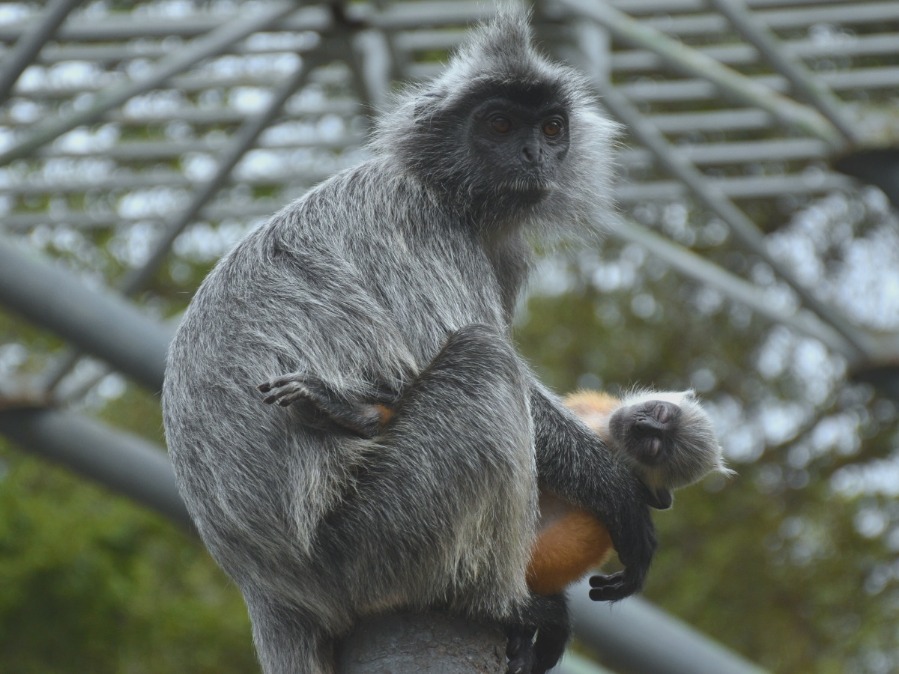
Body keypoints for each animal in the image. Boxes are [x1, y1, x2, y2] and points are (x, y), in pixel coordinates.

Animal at [162, 5, 652, 672]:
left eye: (552, 129)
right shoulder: (416, 218)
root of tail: (265, 589)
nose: (533, 155)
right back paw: (504, 604)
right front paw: (616, 491)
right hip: (370, 543)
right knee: (483, 358)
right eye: (498, 124)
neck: (452, 195)